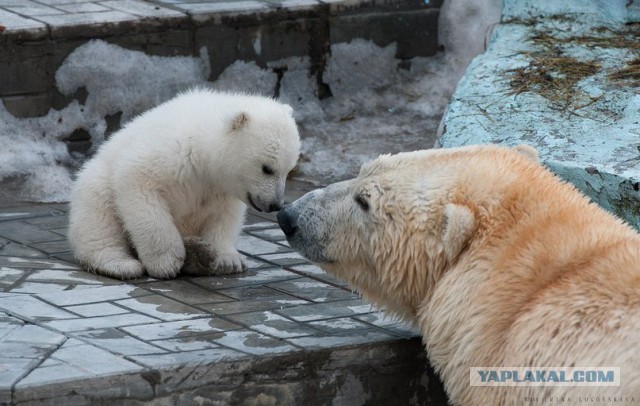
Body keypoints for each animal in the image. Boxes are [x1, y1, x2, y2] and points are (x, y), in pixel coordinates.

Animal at [71, 89, 302, 280]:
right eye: (267, 168)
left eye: (289, 169)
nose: (275, 204)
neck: (203, 149)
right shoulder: (169, 155)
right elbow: (139, 186)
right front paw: (165, 262)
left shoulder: (221, 188)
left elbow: (224, 216)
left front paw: (229, 260)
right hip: (98, 178)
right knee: (98, 217)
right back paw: (121, 264)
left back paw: (198, 254)